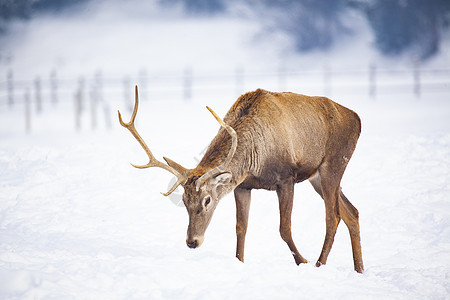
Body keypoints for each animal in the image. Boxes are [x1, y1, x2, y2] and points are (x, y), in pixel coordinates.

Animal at [118, 85, 364, 274]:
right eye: (184, 201)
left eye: (207, 200)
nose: (192, 242)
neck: (255, 160)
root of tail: (357, 118)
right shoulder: (243, 186)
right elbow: (240, 227)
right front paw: (239, 261)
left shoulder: (286, 178)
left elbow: (284, 228)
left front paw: (301, 261)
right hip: (317, 177)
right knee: (352, 212)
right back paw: (359, 268)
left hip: (334, 163)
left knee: (333, 216)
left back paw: (319, 263)